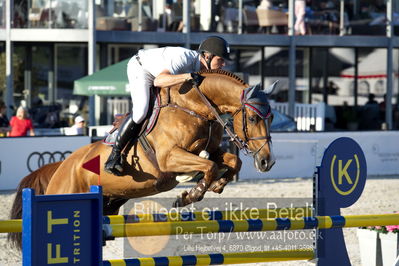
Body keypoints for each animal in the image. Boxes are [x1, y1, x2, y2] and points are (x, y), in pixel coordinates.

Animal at [7, 69, 276, 247]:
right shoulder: (170, 158)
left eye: (271, 118)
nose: (267, 162)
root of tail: (61, 167)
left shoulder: (210, 150)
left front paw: (218, 184)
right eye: (253, 118)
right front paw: (189, 196)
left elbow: (231, 162)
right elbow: (208, 166)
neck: (194, 106)